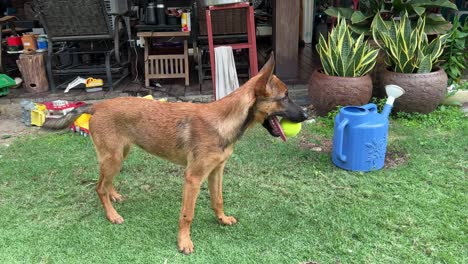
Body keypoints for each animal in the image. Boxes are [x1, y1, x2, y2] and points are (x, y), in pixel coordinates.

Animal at [43, 53, 308, 254]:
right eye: (285, 97)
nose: (306, 115)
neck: (224, 121)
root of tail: (98, 105)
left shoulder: (216, 171)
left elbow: (218, 200)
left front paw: (221, 219)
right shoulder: (193, 178)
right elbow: (187, 214)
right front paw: (184, 242)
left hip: (119, 155)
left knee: (105, 184)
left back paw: (114, 196)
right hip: (114, 158)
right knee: (98, 187)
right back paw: (112, 215)